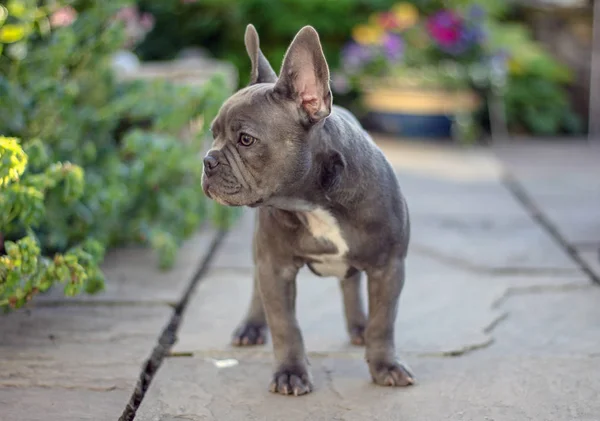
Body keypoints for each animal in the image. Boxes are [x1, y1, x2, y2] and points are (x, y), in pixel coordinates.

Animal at [200, 24, 412, 396]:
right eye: (213, 134)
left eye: (245, 140)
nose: (207, 161)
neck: (312, 202)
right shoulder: (276, 267)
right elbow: (286, 326)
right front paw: (290, 372)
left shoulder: (389, 267)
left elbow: (383, 322)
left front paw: (385, 364)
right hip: (261, 254)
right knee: (258, 290)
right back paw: (251, 327)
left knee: (350, 284)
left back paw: (358, 325)